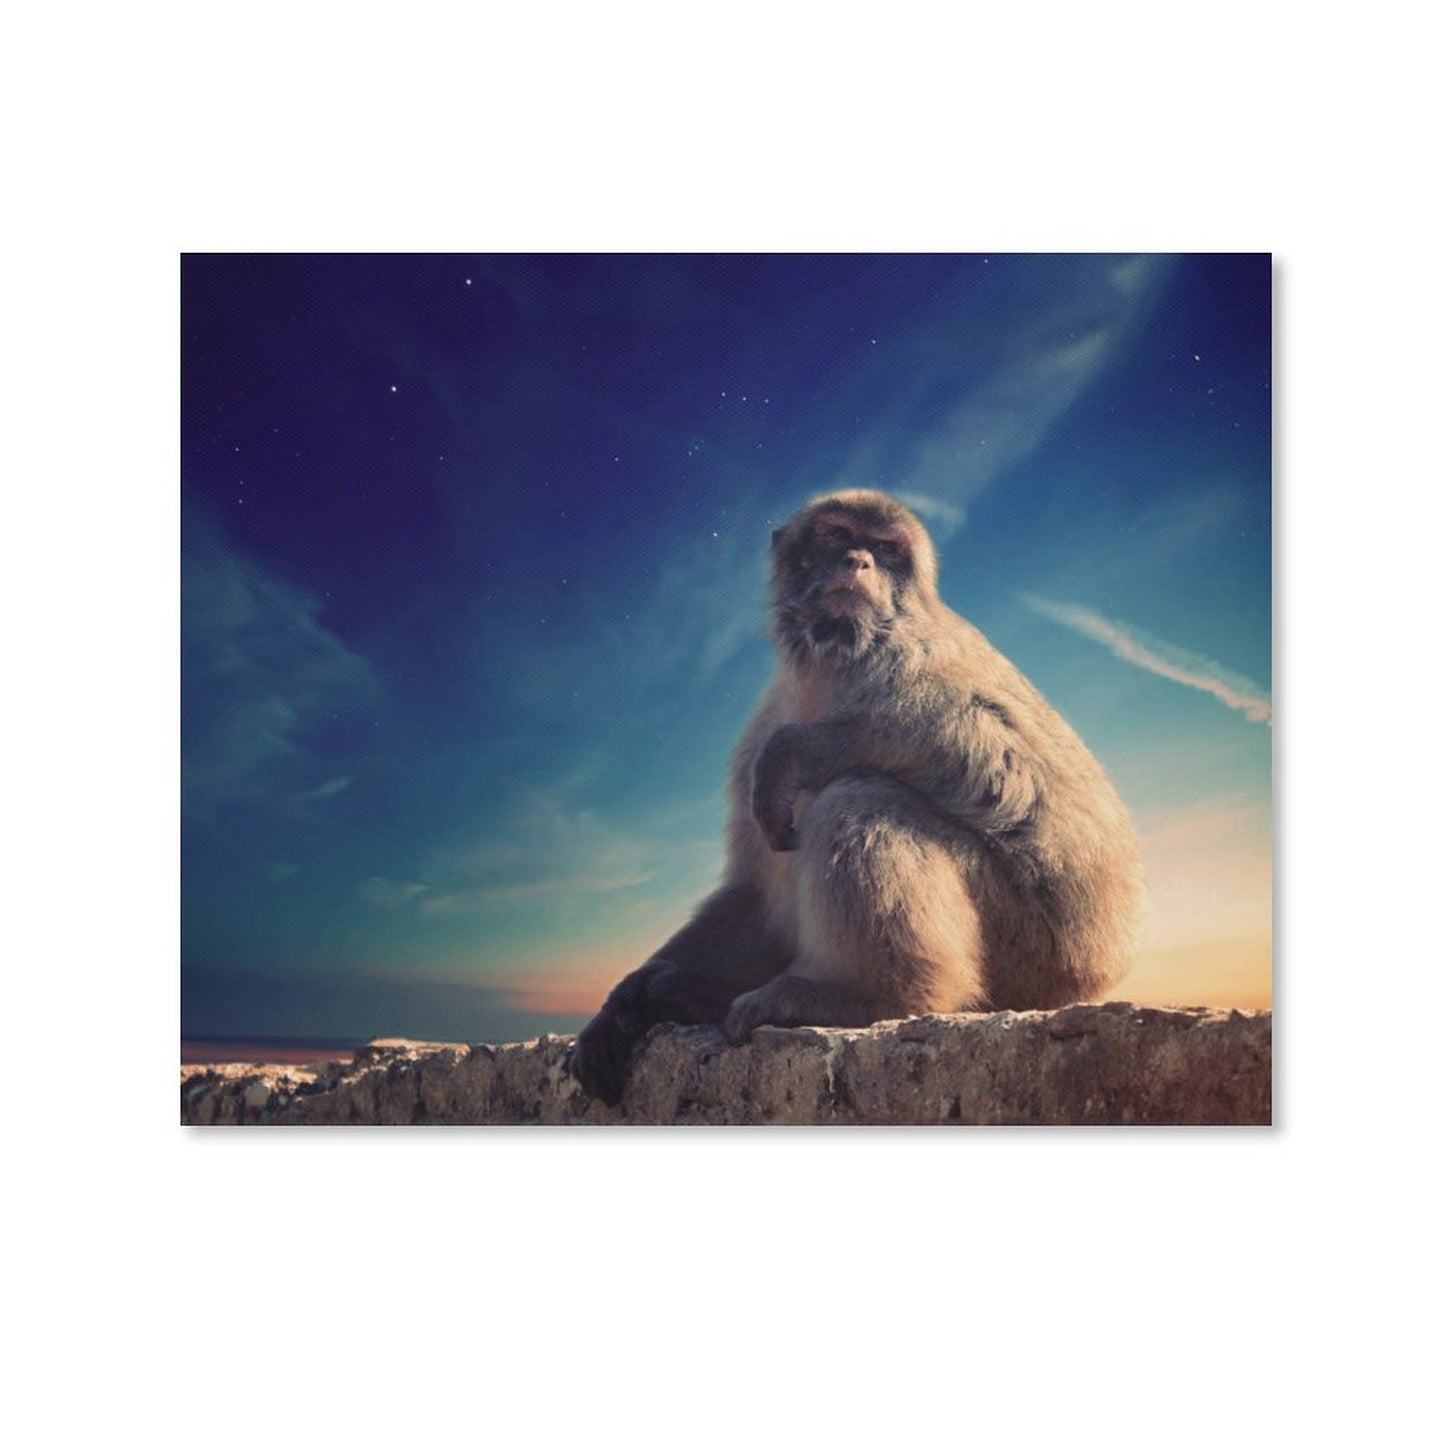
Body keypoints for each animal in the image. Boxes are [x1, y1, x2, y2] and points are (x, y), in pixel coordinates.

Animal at [572, 488, 1143, 1105]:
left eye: (887, 549)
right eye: (838, 535)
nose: (859, 562)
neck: (831, 661)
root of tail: (1096, 971)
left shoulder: (918, 654)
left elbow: (1001, 757)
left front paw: (799, 750)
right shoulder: (761, 725)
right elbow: (754, 892)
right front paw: (626, 1001)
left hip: (1030, 948)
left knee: (856, 796)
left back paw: (871, 996)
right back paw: (696, 994)